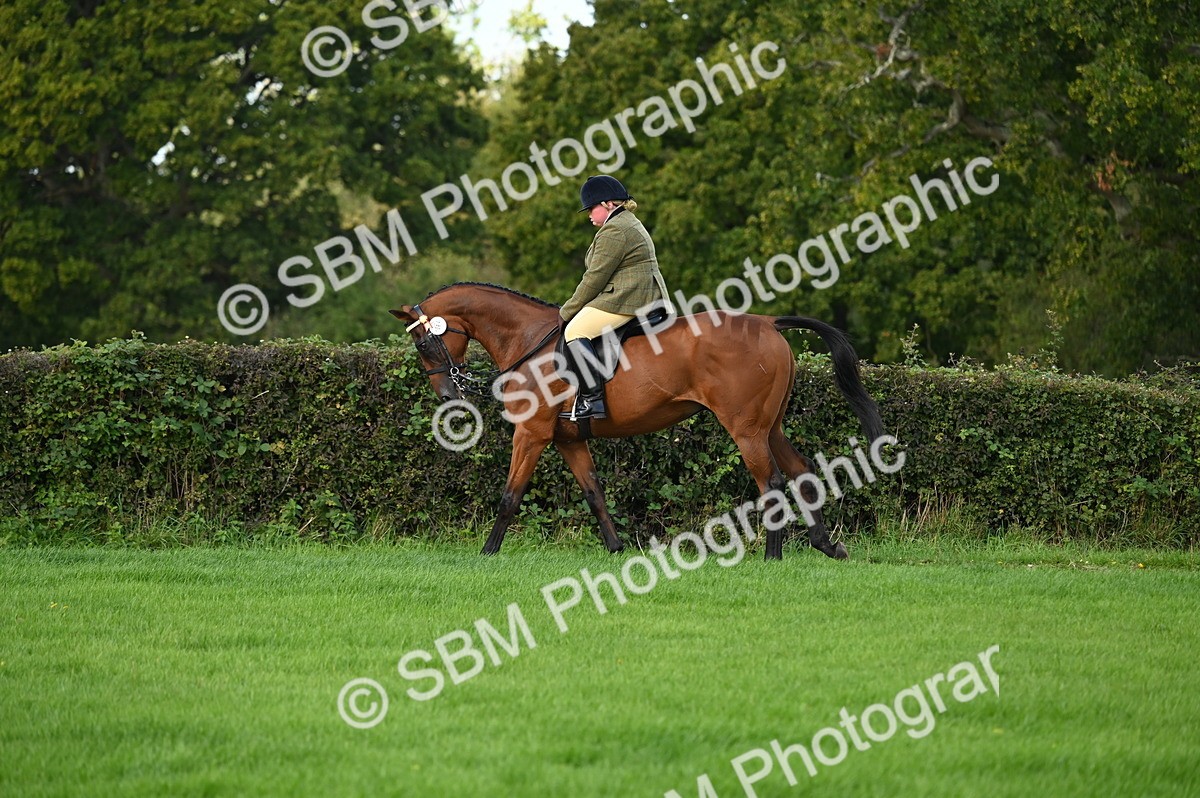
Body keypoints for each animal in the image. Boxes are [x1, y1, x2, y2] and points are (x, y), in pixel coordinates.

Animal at [390, 282, 884, 560]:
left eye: (423, 345)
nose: (448, 394)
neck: (528, 341)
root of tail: (767, 322)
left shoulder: (531, 434)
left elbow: (511, 496)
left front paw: (488, 553)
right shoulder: (568, 440)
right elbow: (594, 494)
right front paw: (616, 549)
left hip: (746, 430)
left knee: (772, 483)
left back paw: (773, 556)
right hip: (770, 427)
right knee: (801, 472)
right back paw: (827, 546)